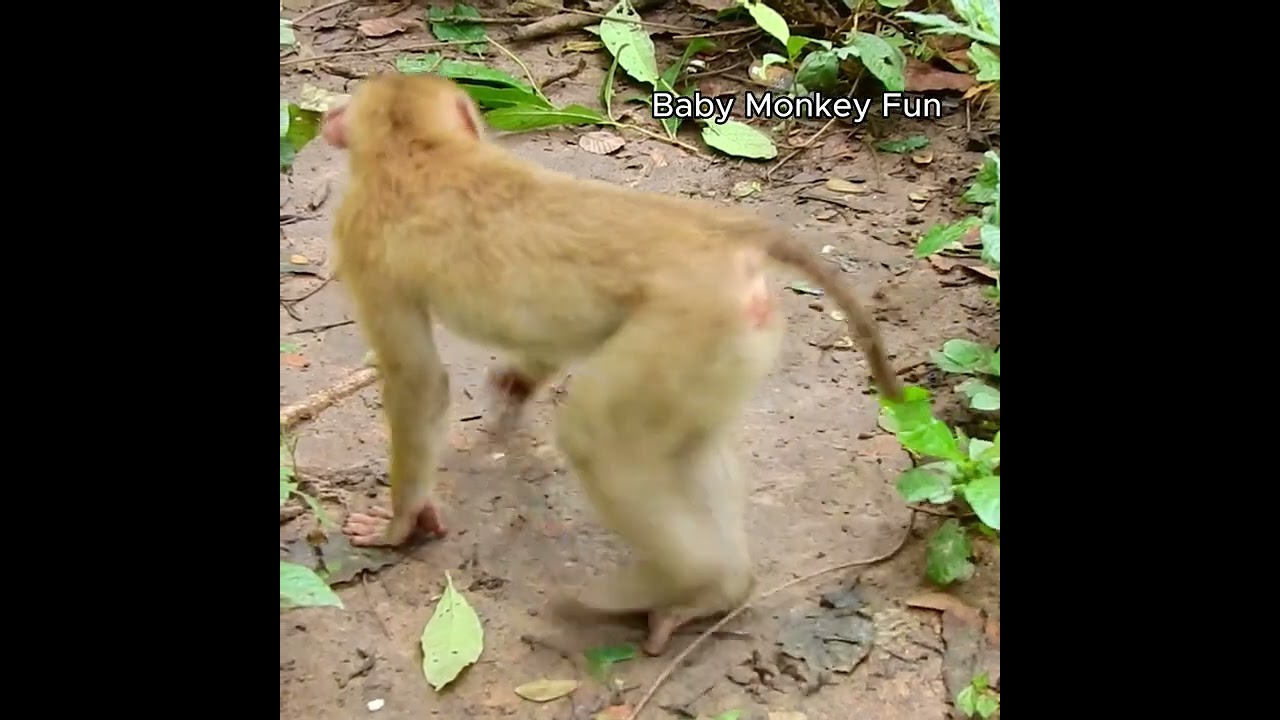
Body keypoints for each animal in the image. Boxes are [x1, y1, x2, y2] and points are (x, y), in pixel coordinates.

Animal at [322, 73, 903, 656]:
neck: (418, 147)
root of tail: (723, 234)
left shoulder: (358, 237)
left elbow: (417, 382)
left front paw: (401, 524)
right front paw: (516, 383)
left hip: (682, 328)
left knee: (599, 440)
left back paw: (676, 581)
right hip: (728, 345)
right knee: (686, 448)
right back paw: (720, 590)